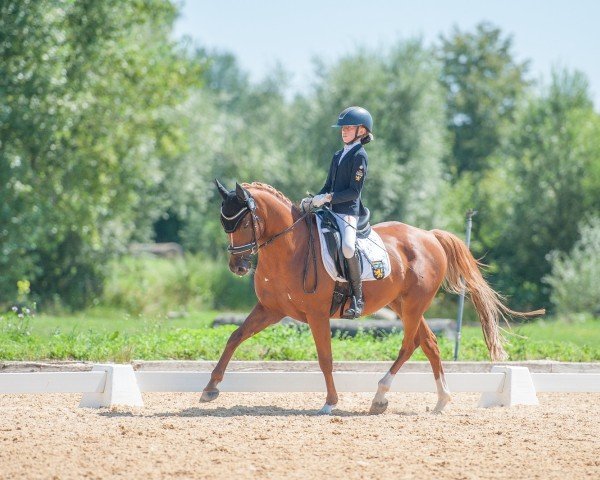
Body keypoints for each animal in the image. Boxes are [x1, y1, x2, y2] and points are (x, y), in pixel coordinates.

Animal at [202, 182, 544, 414]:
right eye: (224, 223)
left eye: (244, 222)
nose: (237, 266)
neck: (289, 249)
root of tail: (429, 235)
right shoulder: (270, 309)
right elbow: (234, 337)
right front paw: (210, 388)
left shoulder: (316, 314)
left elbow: (325, 358)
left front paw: (330, 402)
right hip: (403, 305)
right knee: (430, 343)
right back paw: (441, 401)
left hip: (413, 305)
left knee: (409, 344)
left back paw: (381, 395)